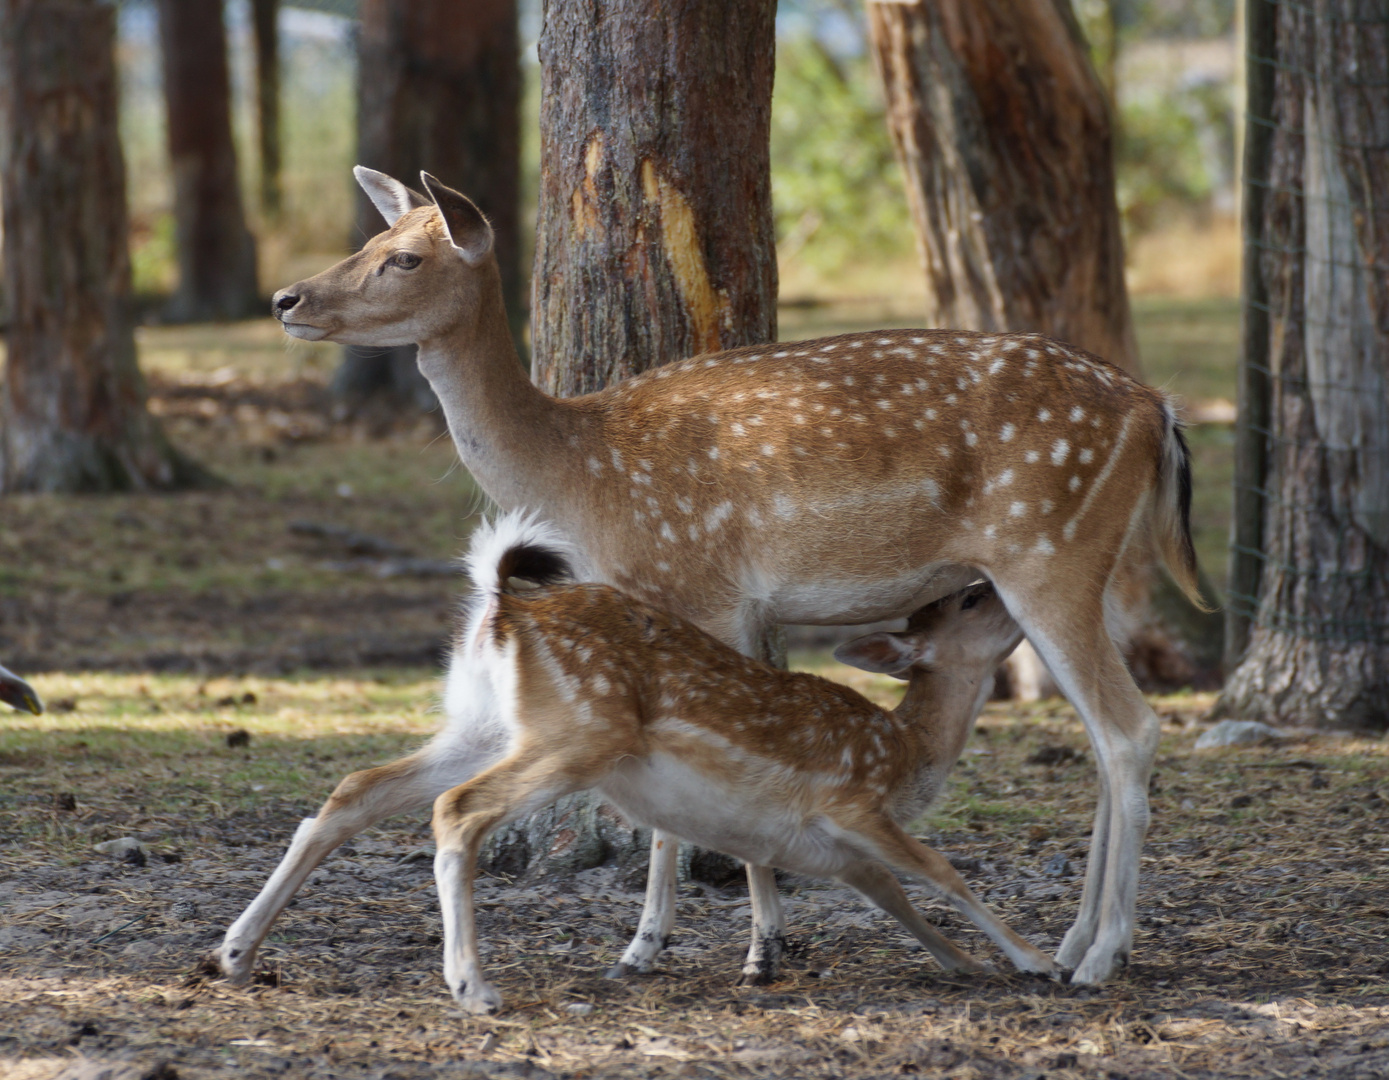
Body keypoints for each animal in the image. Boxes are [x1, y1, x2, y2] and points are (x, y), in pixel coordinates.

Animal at [244, 167, 1211, 982]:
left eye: (404, 257)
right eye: (373, 237)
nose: (288, 298)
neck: (577, 475)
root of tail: (1155, 409)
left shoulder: (697, 583)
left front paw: (717, 946)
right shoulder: (712, 611)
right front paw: (690, 940)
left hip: (1047, 552)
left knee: (1129, 730)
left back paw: (1098, 956)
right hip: (1069, 567)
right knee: (1100, 737)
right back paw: (1076, 940)